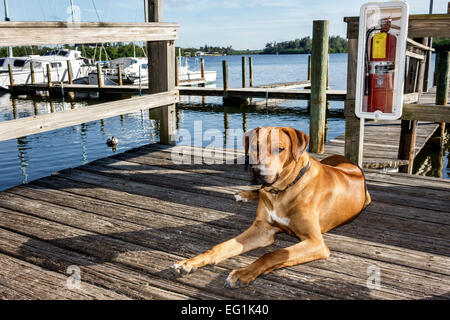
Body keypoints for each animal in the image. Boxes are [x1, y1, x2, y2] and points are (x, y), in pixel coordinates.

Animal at [171, 127, 370, 288]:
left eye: (280, 149)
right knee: (259, 190)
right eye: (254, 147)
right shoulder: (262, 230)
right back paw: (246, 194)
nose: (257, 171)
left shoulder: (315, 243)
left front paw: (243, 273)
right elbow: (219, 247)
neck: (281, 191)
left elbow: (274, 254)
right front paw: (190, 262)